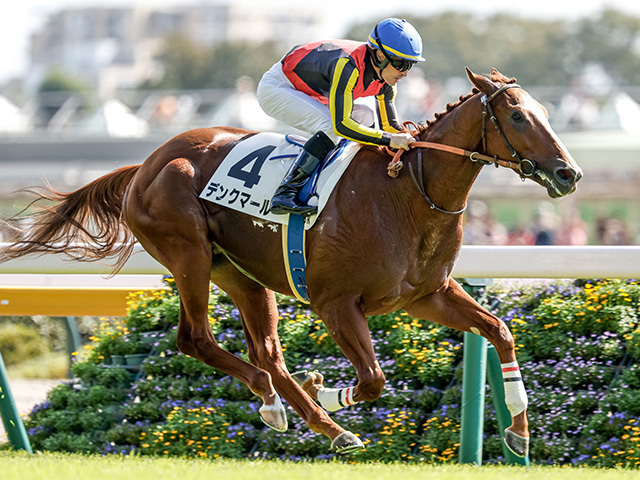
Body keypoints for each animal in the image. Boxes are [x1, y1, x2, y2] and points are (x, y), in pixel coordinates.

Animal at [1, 66, 580, 454]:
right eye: (517, 115)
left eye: (546, 113)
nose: (568, 173)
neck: (409, 194)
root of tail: (146, 163)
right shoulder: (335, 303)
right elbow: (373, 378)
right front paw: (327, 389)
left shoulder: (425, 295)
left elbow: (500, 331)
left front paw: (518, 432)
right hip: (187, 252)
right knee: (198, 339)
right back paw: (286, 402)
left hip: (238, 272)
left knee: (268, 353)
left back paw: (308, 418)